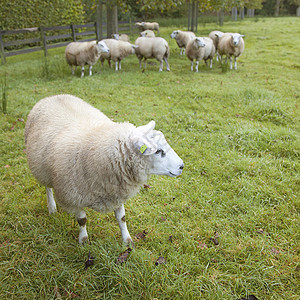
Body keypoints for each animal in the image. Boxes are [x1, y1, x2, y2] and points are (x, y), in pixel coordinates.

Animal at [24, 94, 184, 246]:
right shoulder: (73, 195)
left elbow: (122, 218)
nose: (181, 166)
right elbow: (82, 220)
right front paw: (83, 241)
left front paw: (127, 241)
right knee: (48, 188)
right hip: (42, 169)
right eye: (158, 151)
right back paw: (52, 207)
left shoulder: (116, 192)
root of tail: (53, 96)